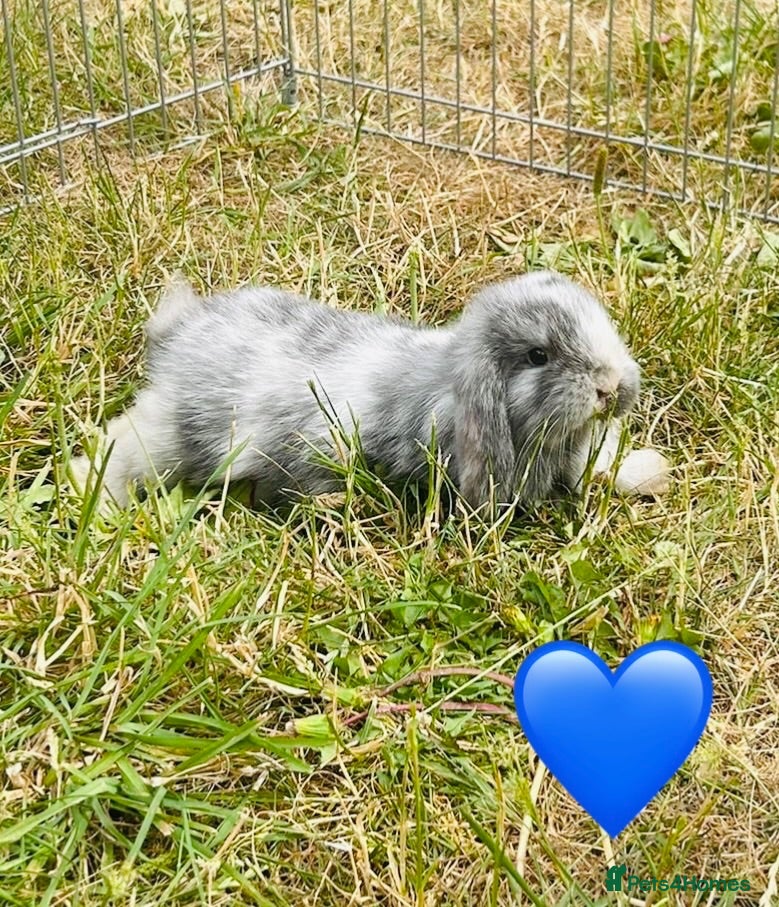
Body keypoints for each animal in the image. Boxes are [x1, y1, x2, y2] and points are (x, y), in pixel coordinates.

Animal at [69, 270, 669, 512]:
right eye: (538, 356)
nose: (611, 388)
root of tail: (179, 333)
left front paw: (650, 473)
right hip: (176, 432)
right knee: (120, 445)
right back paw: (94, 501)